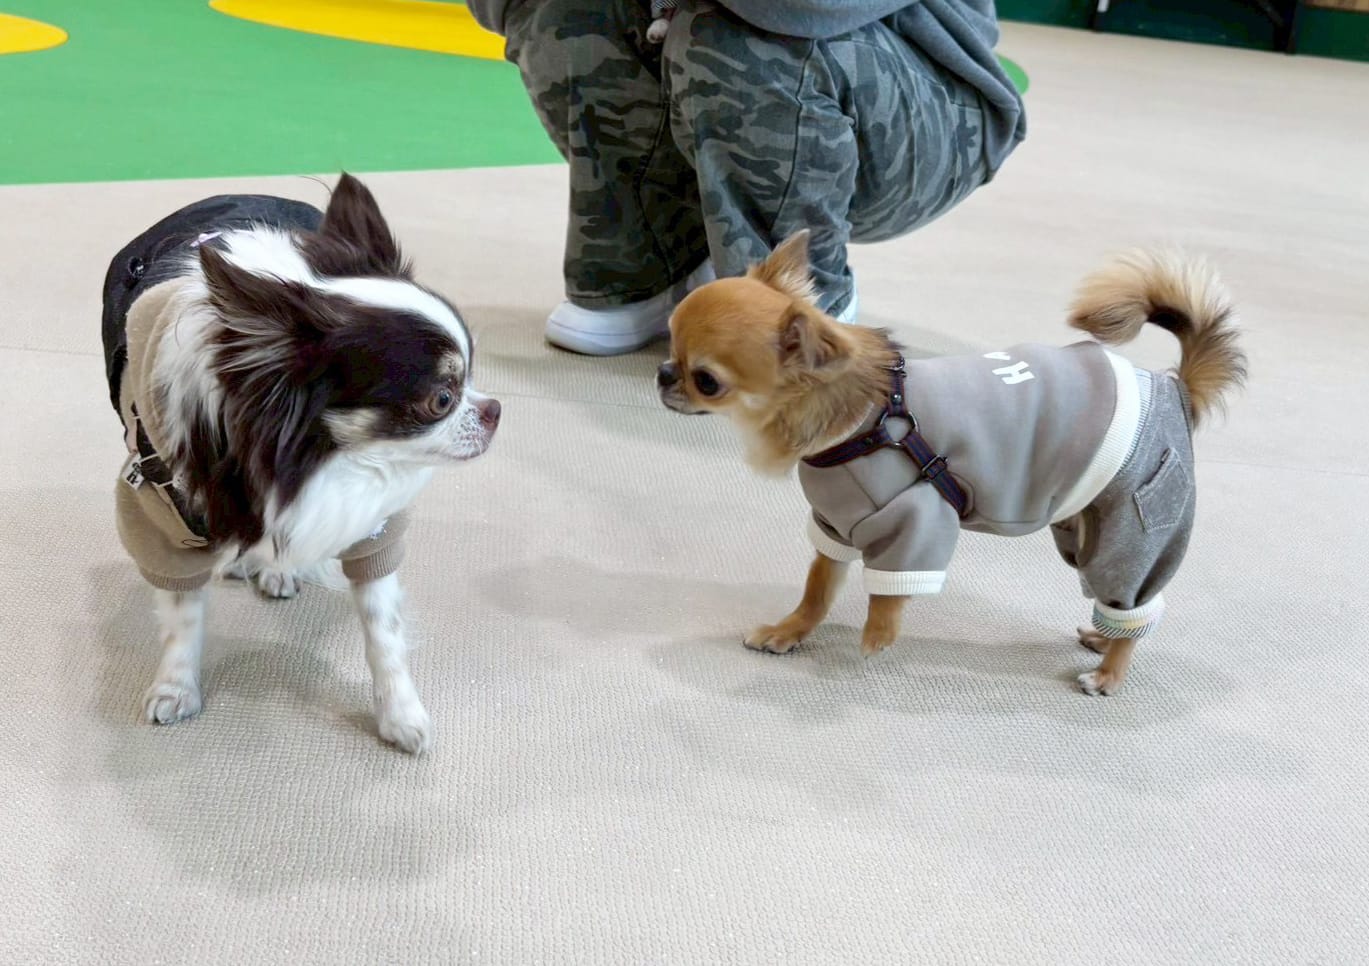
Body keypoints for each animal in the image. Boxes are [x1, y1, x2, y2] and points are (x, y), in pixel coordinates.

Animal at [103, 174, 500, 752]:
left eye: (471, 375)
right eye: (441, 399)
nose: (494, 410)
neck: (319, 464)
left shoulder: (375, 525)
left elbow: (384, 630)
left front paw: (400, 713)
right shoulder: (159, 518)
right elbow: (182, 621)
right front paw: (175, 688)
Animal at [657, 231, 1245, 694]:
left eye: (706, 380)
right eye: (669, 341)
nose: (663, 373)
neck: (859, 422)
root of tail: (1173, 388)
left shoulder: (916, 520)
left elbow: (888, 591)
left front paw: (877, 637)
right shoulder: (836, 524)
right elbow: (818, 588)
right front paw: (790, 631)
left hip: (1131, 526)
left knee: (1135, 597)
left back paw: (1110, 671)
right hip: (1081, 525)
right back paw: (1104, 638)